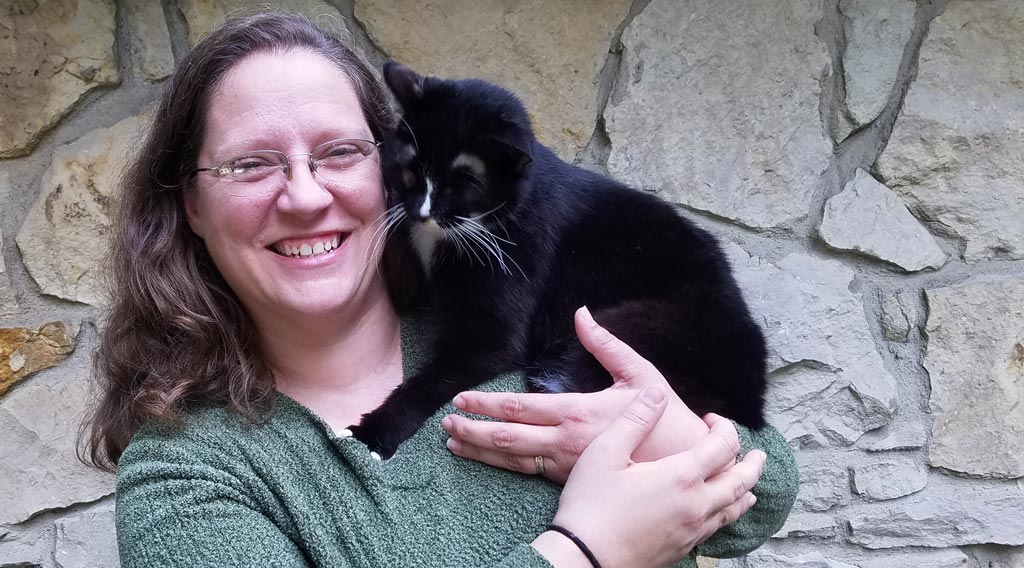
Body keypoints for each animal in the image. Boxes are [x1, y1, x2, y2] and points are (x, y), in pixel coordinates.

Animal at [348, 64, 765, 460]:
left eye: (462, 185)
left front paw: (377, 428)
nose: (421, 213)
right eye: (410, 169)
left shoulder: (507, 289)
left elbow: (445, 371)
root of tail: (752, 399)